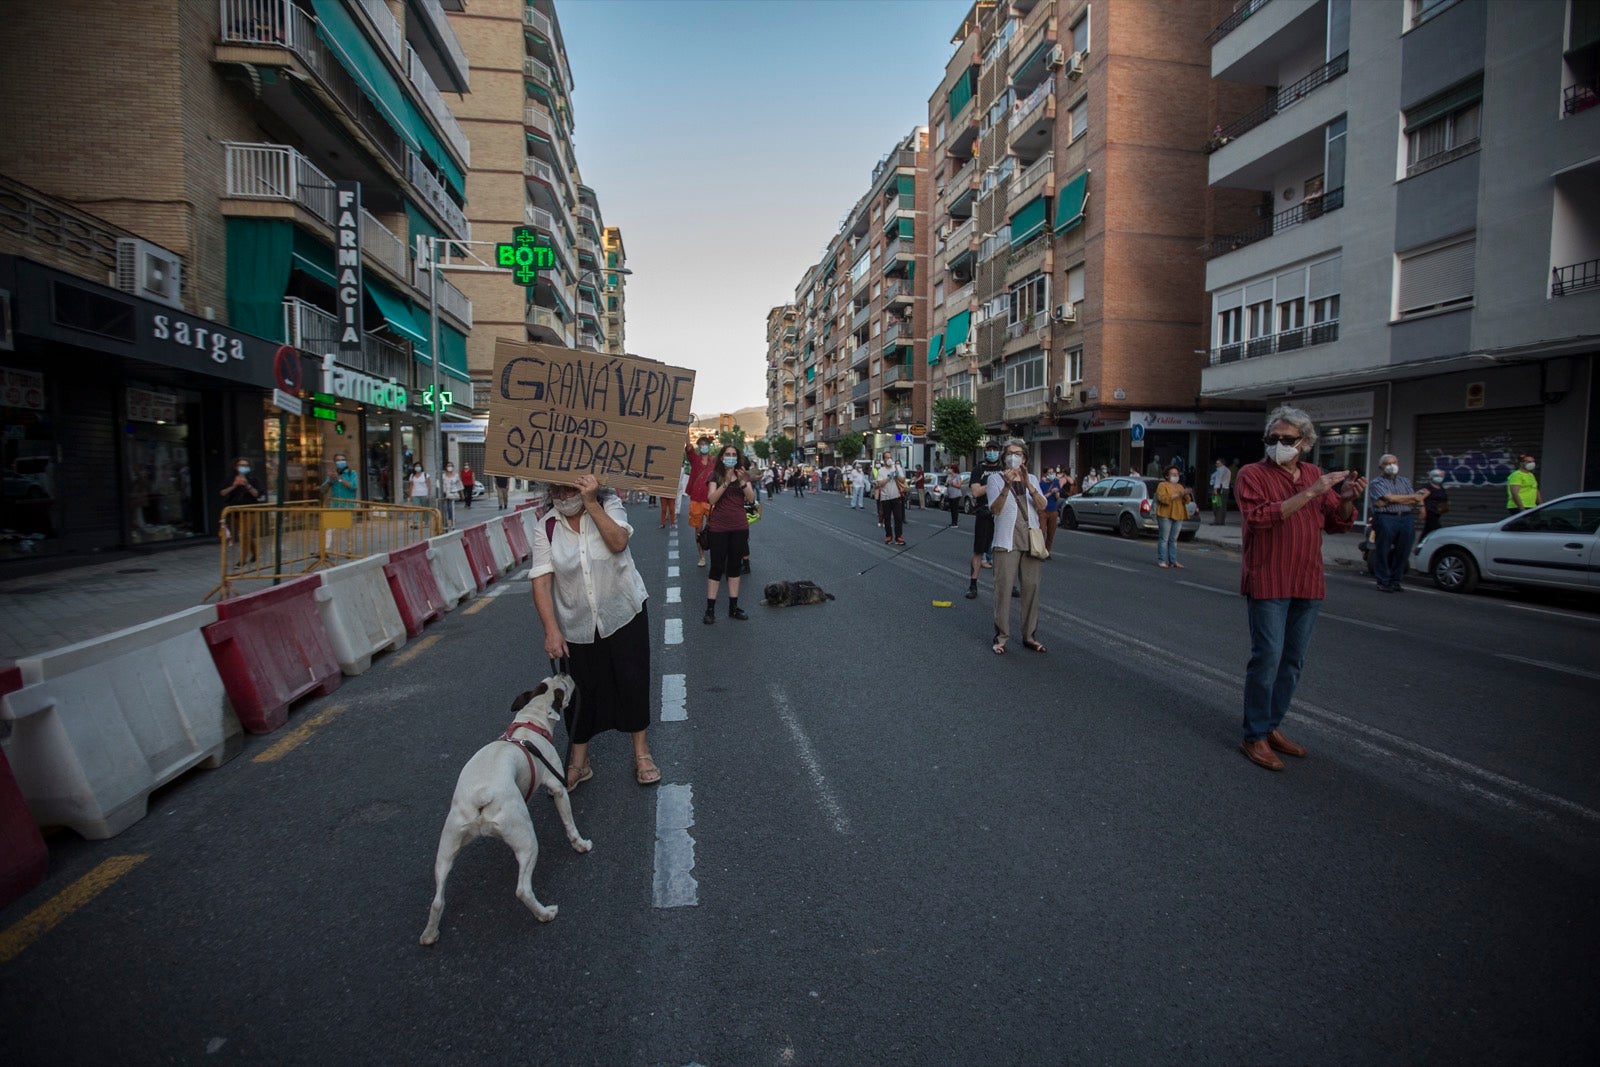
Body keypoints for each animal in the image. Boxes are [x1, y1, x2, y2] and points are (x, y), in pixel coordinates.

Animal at [419, 675, 595, 940]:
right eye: (563, 689)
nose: (564, 674)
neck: (530, 722)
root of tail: (482, 796)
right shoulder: (558, 786)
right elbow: (569, 823)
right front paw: (581, 845)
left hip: (447, 847)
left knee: (438, 899)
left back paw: (429, 935)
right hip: (526, 840)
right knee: (522, 889)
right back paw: (545, 913)